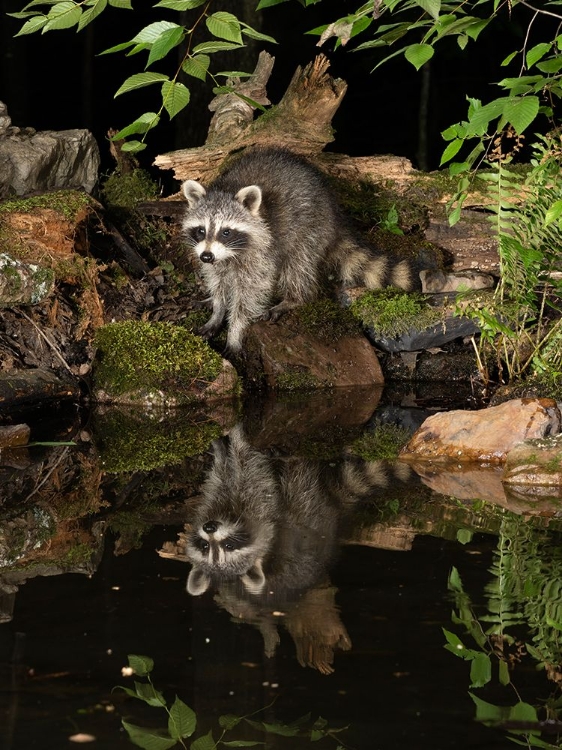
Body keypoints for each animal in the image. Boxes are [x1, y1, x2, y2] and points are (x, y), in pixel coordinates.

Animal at [182, 150, 418, 356]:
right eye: (201, 230)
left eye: (226, 232)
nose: (206, 257)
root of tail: (335, 213)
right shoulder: (217, 260)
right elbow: (218, 282)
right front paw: (217, 309)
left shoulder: (261, 252)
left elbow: (250, 295)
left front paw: (235, 332)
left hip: (311, 229)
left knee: (297, 267)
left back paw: (294, 298)